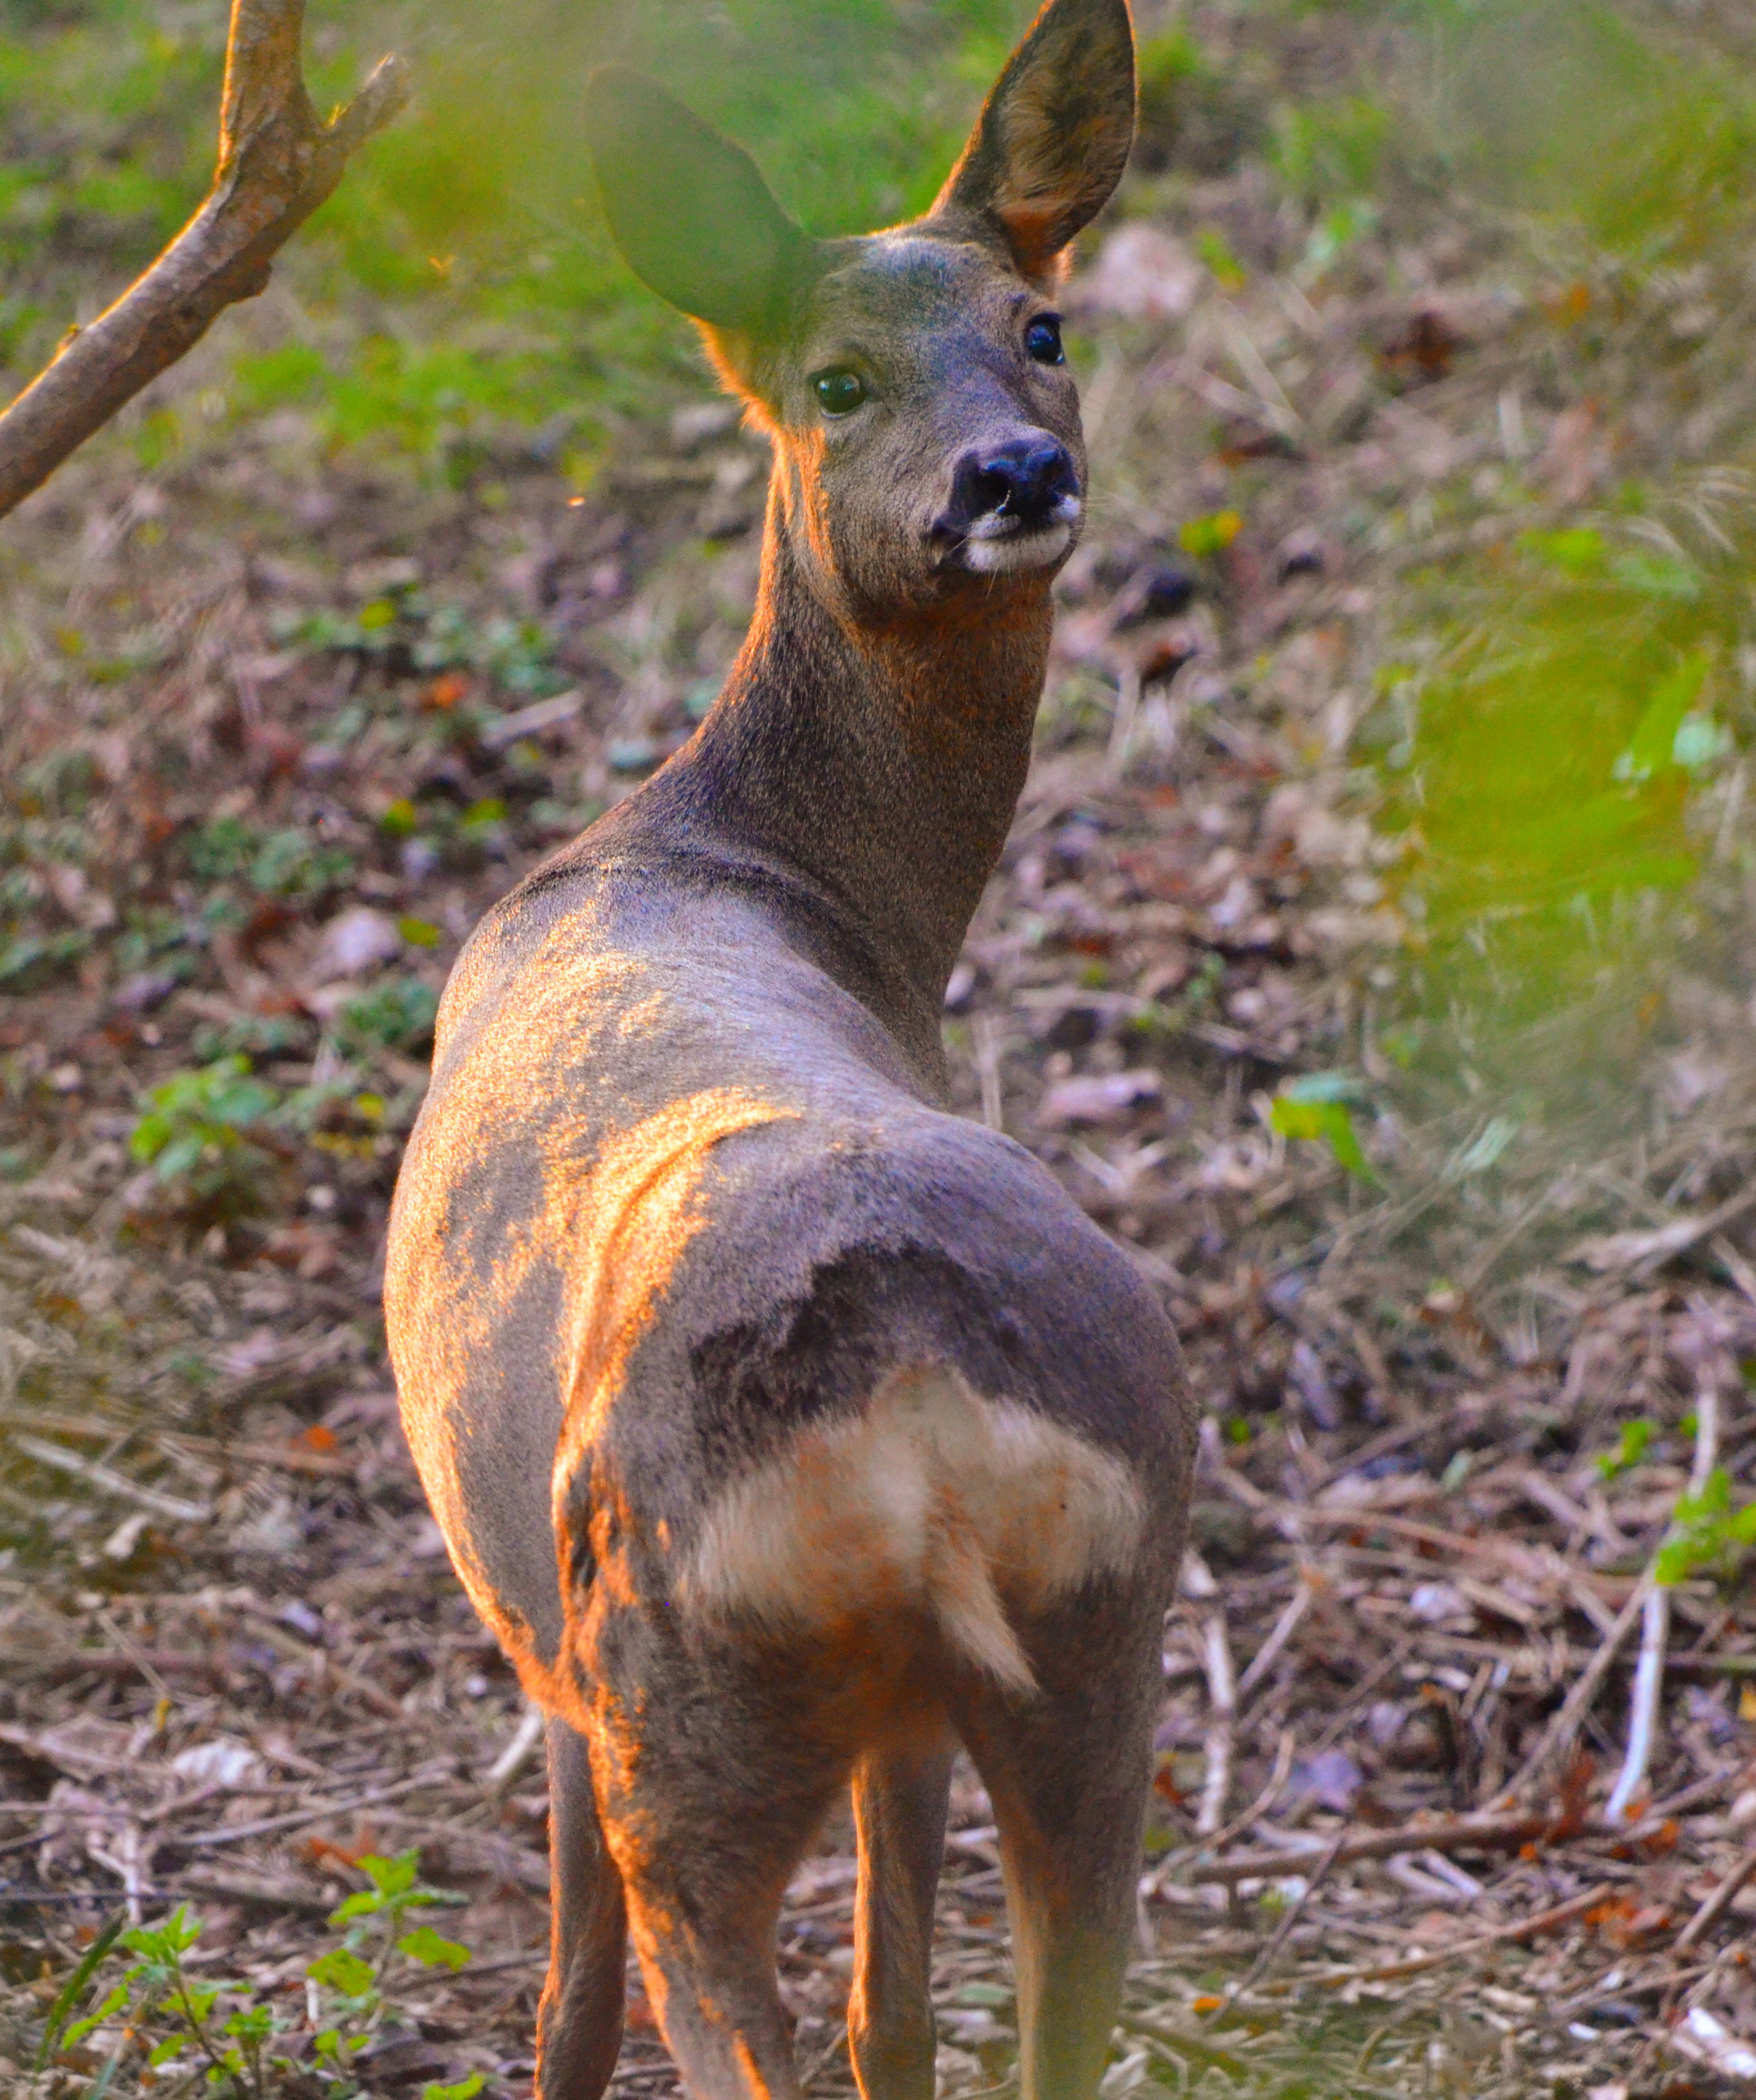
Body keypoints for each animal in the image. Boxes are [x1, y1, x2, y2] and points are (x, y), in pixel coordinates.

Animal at [384, 4, 1195, 2098]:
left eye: (1038, 324)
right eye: (834, 378)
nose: (1011, 470)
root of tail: (916, 1429)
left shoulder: (537, 1643)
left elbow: (567, 1985)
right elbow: (893, 2003)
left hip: (674, 1692)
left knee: (706, 1988)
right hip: (1099, 1648)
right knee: (1023, 2002)